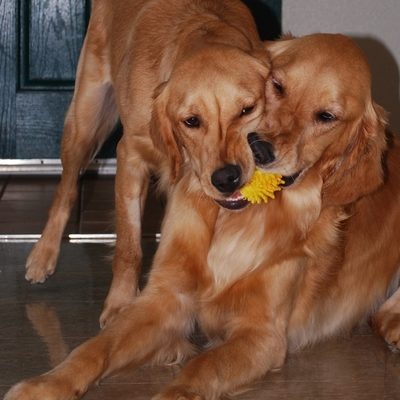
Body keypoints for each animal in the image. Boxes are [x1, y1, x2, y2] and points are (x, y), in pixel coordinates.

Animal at [6, 33, 400, 400]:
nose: (260, 149)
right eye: (277, 85)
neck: (235, 220)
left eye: (326, 117)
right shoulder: (165, 298)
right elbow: (95, 347)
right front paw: (45, 384)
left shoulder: (262, 334)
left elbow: (201, 369)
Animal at [23, 0, 270, 324]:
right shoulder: (130, 157)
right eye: (191, 121)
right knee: (67, 188)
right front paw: (120, 306)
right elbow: (129, 247)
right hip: (85, 119)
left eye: (247, 109)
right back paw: (43, 255)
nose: (226, 178)